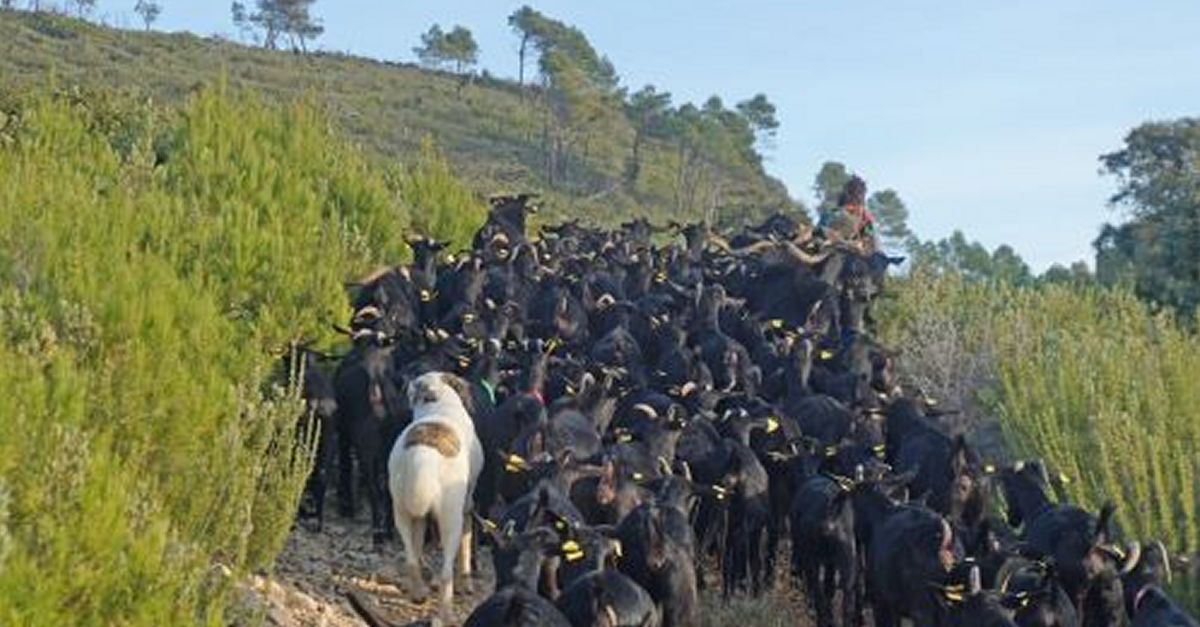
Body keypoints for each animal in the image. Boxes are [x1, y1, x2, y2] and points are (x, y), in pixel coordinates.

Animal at [388, 369, 482, 619]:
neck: (438, 401)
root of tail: (423, 456)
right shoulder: (467, 504)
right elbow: (466, 543)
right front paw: (466, 582)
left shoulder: (419, 516)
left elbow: (419, 542)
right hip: (451, 519)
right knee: (447, 570)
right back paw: (447, 612)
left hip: (401, 512)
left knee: (412, 558)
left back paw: (419, 592)